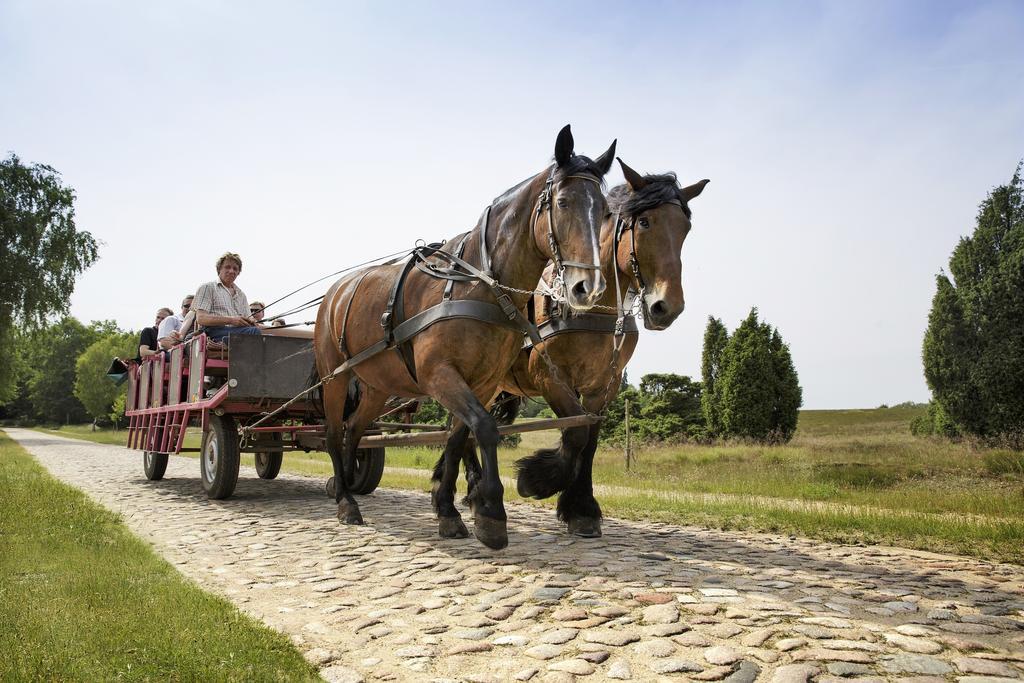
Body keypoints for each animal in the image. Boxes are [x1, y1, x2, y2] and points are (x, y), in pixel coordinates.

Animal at [315, 125, 610, 548]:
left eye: (604, 210)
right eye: (564, 202)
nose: (588, 288)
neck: (478, 286)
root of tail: (335, 293)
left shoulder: (482, 383)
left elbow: (459, 436)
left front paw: (448, 510)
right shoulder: (440, 374)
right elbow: (484, 428)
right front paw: (490, 512)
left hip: (377, 385)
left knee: (354, 430)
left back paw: (353, 491)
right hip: (335, 378)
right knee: (333, 432)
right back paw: (344, 501)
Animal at [434, 158, 712, 540]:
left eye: (684, 228)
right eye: (644, 222)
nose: (667, 307)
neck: (593, 309)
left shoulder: (604, 384)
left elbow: (589, 440)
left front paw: (581, 508)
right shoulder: (550, 378)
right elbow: (575, 433)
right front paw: (538, 480)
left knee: (461, 430)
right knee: (463, 432)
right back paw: (473, 493)